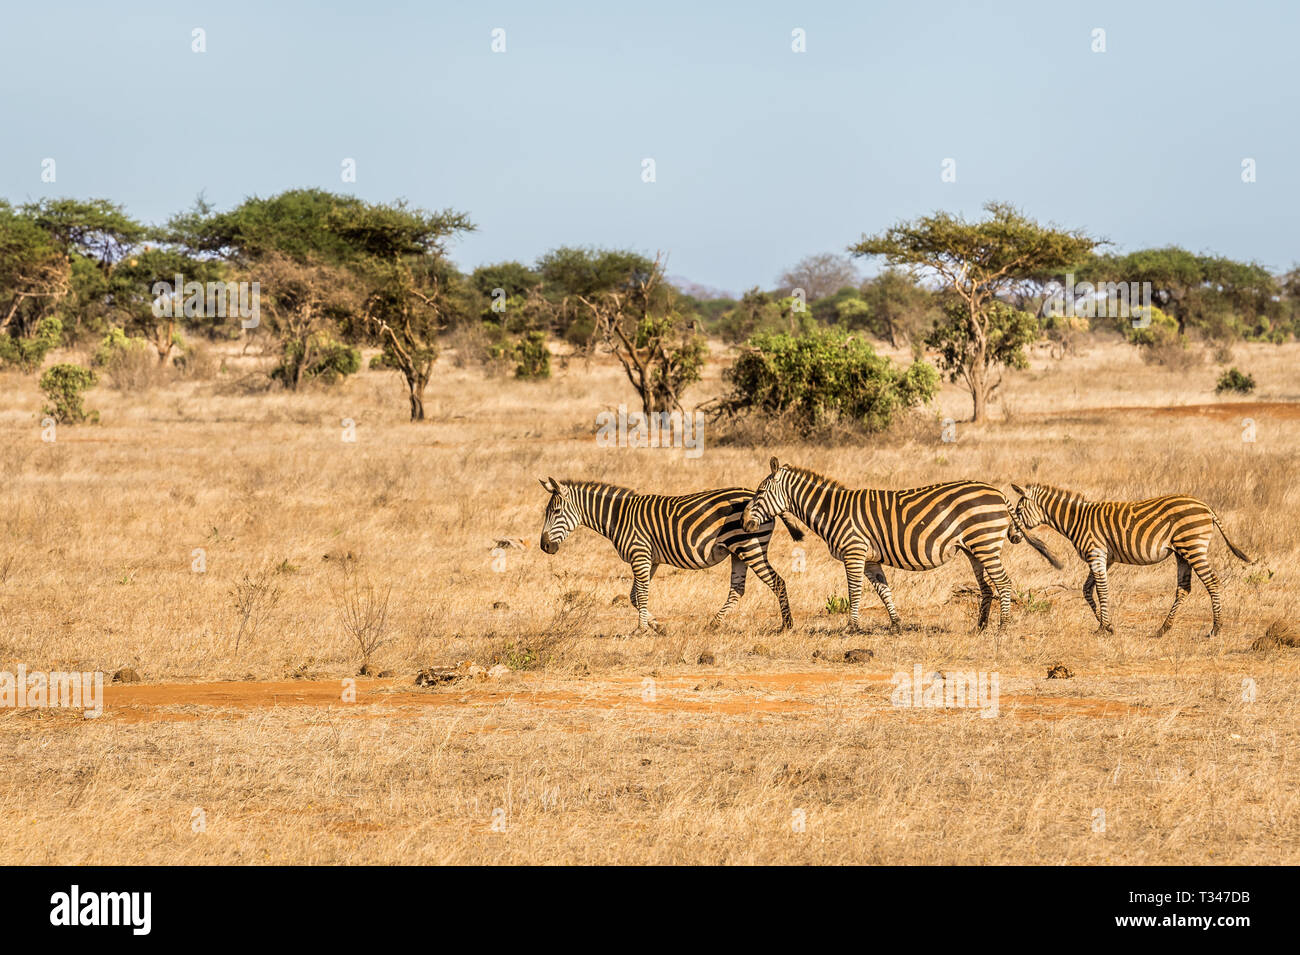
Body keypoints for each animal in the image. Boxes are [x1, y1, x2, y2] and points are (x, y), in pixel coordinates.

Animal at [538, 478, 800, 634]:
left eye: (556, 511)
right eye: (547, 512)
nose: (544, 546)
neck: (618, 517)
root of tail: (758, 497)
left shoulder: (639, 554)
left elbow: (641, 594)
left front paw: (641, 629)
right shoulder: (650, 559)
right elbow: (634, 596)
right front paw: (656, 626)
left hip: (750, 546)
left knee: (777, 582)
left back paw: (786, 625)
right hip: (738, 551)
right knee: (737, 589)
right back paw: (713, 624)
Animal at [738, 459, 1060, 631]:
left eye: (760, 492)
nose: (743, 522)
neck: (833, 510)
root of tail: (997, 492)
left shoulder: (854, 552)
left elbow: (854, 591)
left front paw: (852, 627)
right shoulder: (870, 558)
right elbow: (883, 590)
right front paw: (896, 624)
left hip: (985, 543)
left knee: (1004, 583)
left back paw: (1002, 627)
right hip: (975, 548)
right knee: (988, 587)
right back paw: (979, 628)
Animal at [1008, 480, 1253, 639]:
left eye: (1018, 511)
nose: (1010, 536)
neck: (1077, 519)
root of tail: (1205, 506)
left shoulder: (1096, 554)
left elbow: (1101, 589)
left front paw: (1105, 627)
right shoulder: (1105, 558)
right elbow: (1088, 589)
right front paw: (1104, 625)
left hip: (1193, 547)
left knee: (1212, 582)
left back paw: (1216, 629)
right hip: (1182, 552)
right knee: (1184, 588)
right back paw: (1163, 629)